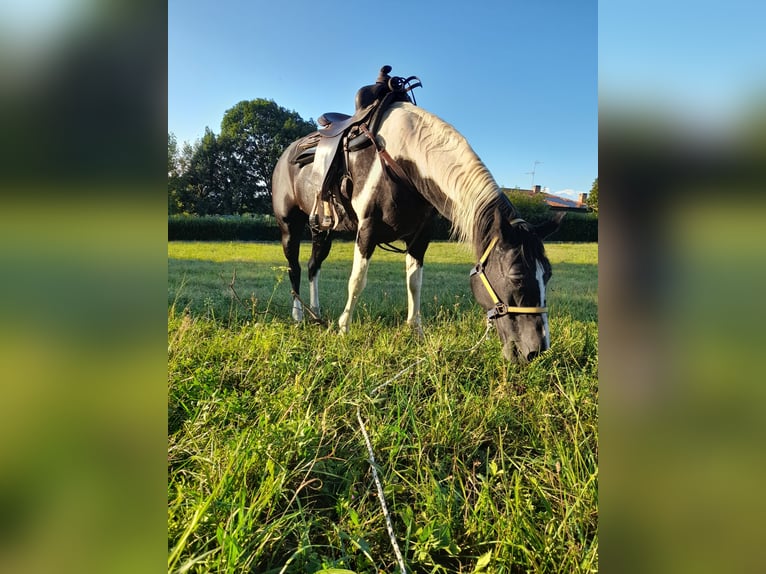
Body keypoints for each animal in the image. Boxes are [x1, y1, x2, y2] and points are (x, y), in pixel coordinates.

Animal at [272, 101, 560, 362]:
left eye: (547, 275)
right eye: (516, 276)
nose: (536, 349)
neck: (402, 159)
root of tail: (285, 155)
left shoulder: (420, 238)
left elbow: (414, 283)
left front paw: (415, 331)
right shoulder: (366, 231)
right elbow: (356, 281)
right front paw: (344, 329)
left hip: (322, 230)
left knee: (313, 266)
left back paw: (316, 313)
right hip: (289, 227)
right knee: (295, 268)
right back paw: (298, 315)